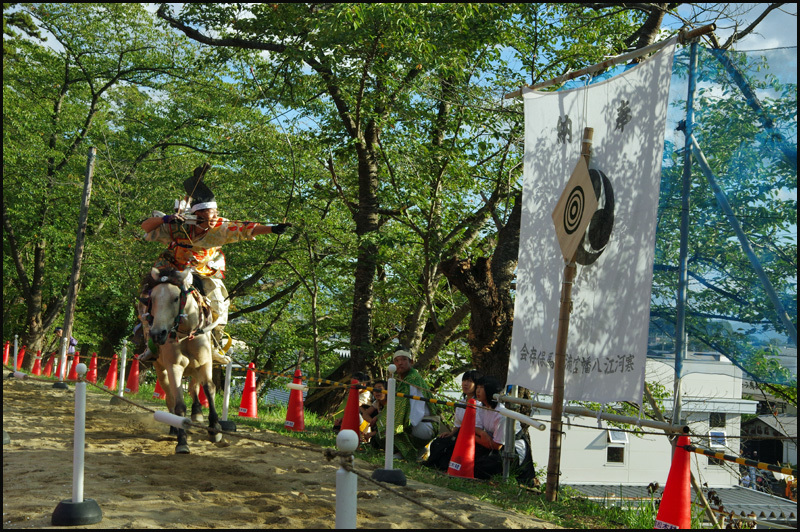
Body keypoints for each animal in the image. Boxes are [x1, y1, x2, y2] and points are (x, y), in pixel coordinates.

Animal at [145, 266, 222, 454]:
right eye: (152, 298)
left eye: (175, 298)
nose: (157, 334)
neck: (186, 332)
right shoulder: (174, 366)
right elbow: (179, 403)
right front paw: (182, 441)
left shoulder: (205, 361)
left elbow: (209, 388)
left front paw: (215, 429)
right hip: (162, 370)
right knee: (171, 397)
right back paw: (174, 427)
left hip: (195, 367)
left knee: (194, 387)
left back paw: (197, 413)